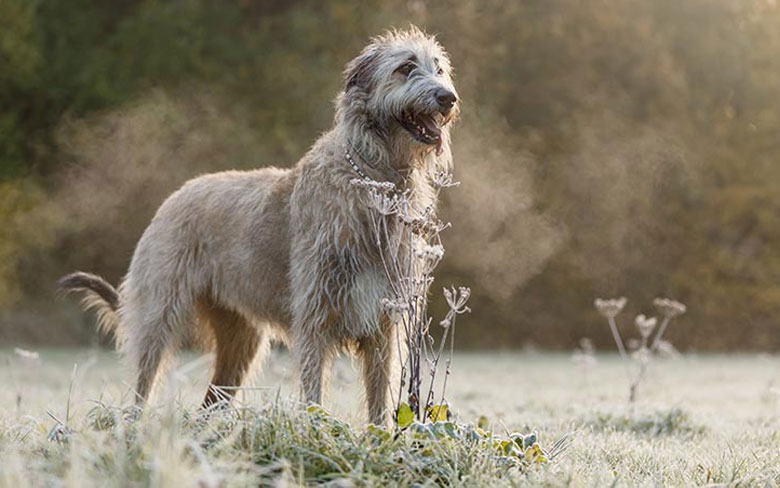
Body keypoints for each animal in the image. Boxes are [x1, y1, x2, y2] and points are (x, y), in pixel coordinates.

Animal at [62, 26, 464, 426]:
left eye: (439, 69)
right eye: (406, 67)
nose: (448, 98)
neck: (374, 181)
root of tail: (173, 198)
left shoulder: (383, 323)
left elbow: (380, 398)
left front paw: (378, 437)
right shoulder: (315, 316)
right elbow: (313, 390)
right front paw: (315, 430)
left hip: (241, 339)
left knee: (212, 399)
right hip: (159, 314)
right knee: (143, 381)